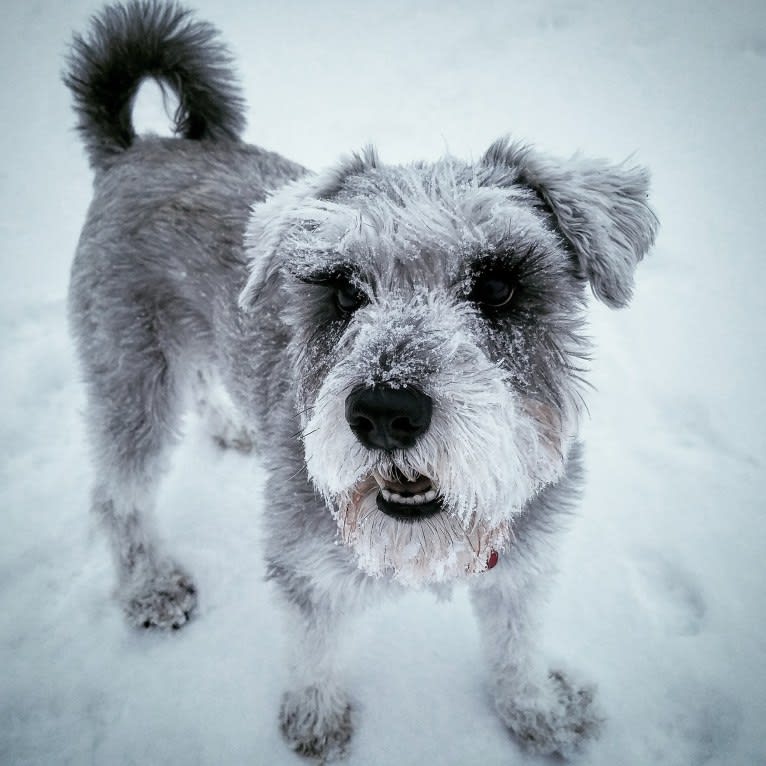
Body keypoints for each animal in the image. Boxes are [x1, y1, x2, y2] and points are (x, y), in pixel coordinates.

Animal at [64, 1, 660, 760]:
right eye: (344, 290)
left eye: (499, 285)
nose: (383, 413)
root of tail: (135, 148)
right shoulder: (308, 567)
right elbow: (315, 649)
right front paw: (316, 722)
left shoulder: (522, 567)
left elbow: (516, 650)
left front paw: (539, 714)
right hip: (132, 374)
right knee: (118, 493)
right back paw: (151, 588)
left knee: (198, 386)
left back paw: (231, 429)